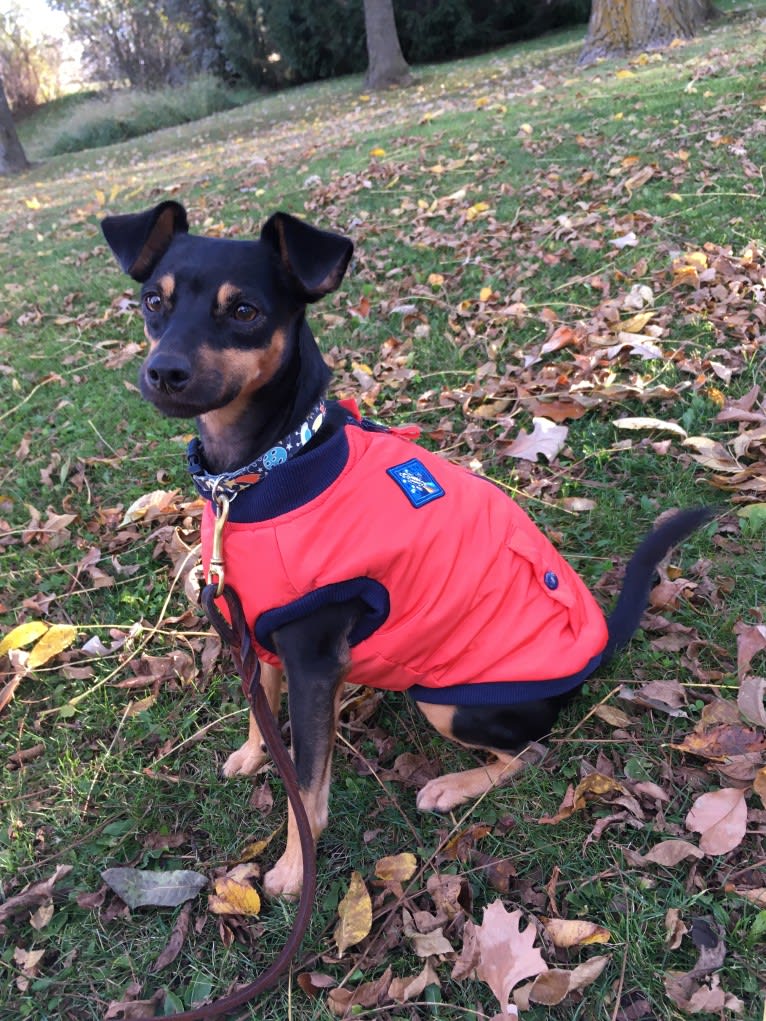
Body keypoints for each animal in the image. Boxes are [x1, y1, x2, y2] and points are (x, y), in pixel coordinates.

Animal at [102, 201, 714, 902]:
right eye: (153, 301)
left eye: (246, 312)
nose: (164, 372)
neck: (259, 474)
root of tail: (596, 653)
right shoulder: (253, 628)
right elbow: (263, 711)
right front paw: (255, 756)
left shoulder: (314, 658)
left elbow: (306, 786)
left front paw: (294, 868)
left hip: (448, 701)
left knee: (530, 753)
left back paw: (452, 786)